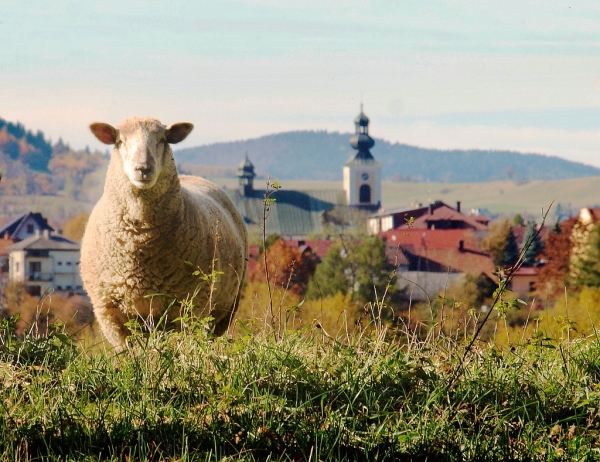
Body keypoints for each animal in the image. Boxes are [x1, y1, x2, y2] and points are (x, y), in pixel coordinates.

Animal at [81, 117, 247, 344]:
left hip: (224, 310)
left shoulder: (191, 305)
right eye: (120, 141)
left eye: (162, 140)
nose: (143, 168)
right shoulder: (110, 313)